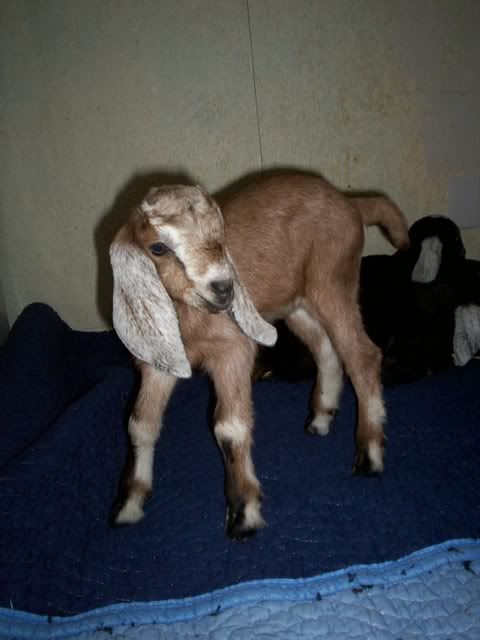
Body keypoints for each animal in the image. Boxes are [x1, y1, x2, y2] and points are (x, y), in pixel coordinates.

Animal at [110, 173, 409, 539]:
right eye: (158, 247)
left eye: (220, 234)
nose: (224, 289)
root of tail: (351, 203)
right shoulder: (158, 362)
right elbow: (140, 424)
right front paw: (129, 505)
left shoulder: (233, 351)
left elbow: (229, 428)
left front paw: (244, 515)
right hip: (298, 304)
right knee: (327, 350)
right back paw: (321, 418)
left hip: (334, 283)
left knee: (362, 355)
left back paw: (369, 455)